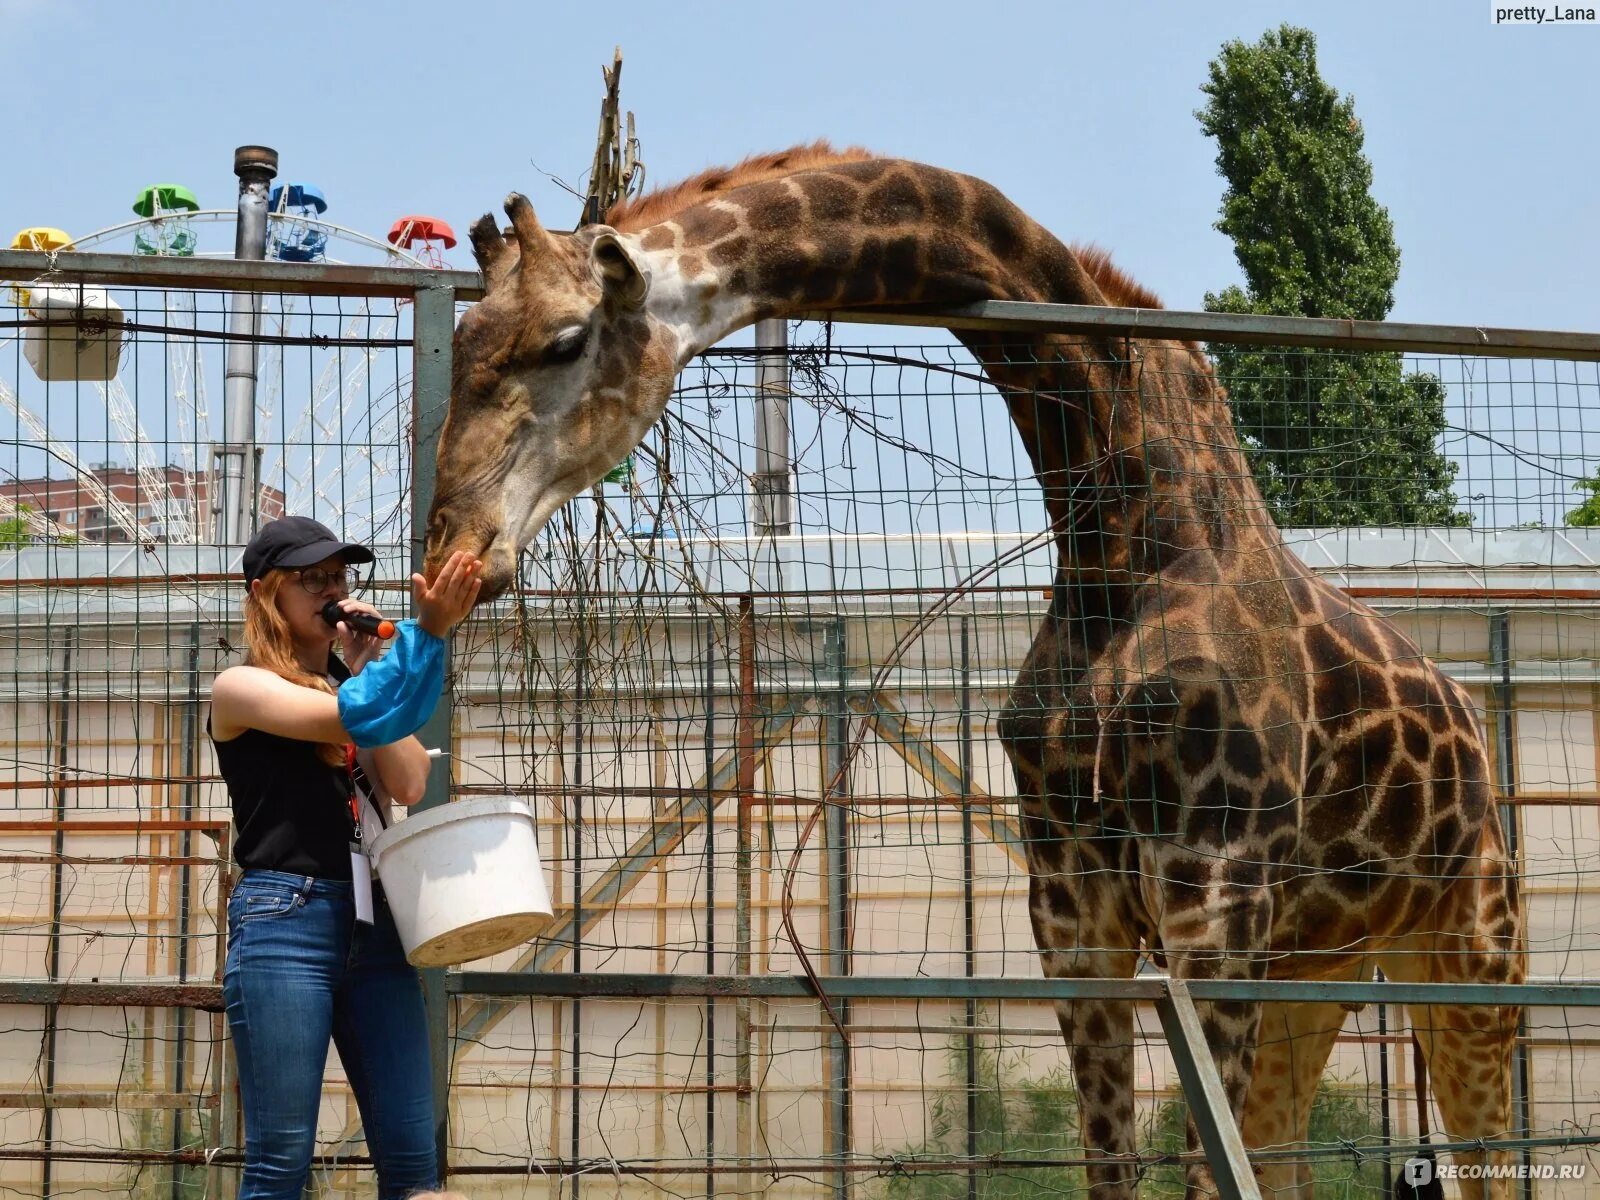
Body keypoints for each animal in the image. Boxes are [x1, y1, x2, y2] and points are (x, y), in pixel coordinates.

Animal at [425, 145, 1523, 1196]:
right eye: (466, 340)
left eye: (565, 340)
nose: (453, 549)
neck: (1124, 531)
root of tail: (1477, 737)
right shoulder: (1071, 902)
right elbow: (1115, 1164)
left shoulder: (1216, 888)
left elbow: (1205, 1173)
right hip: (1322, 965)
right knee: (1288, 1147)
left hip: (1472, 952)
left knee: (1489, 1156)